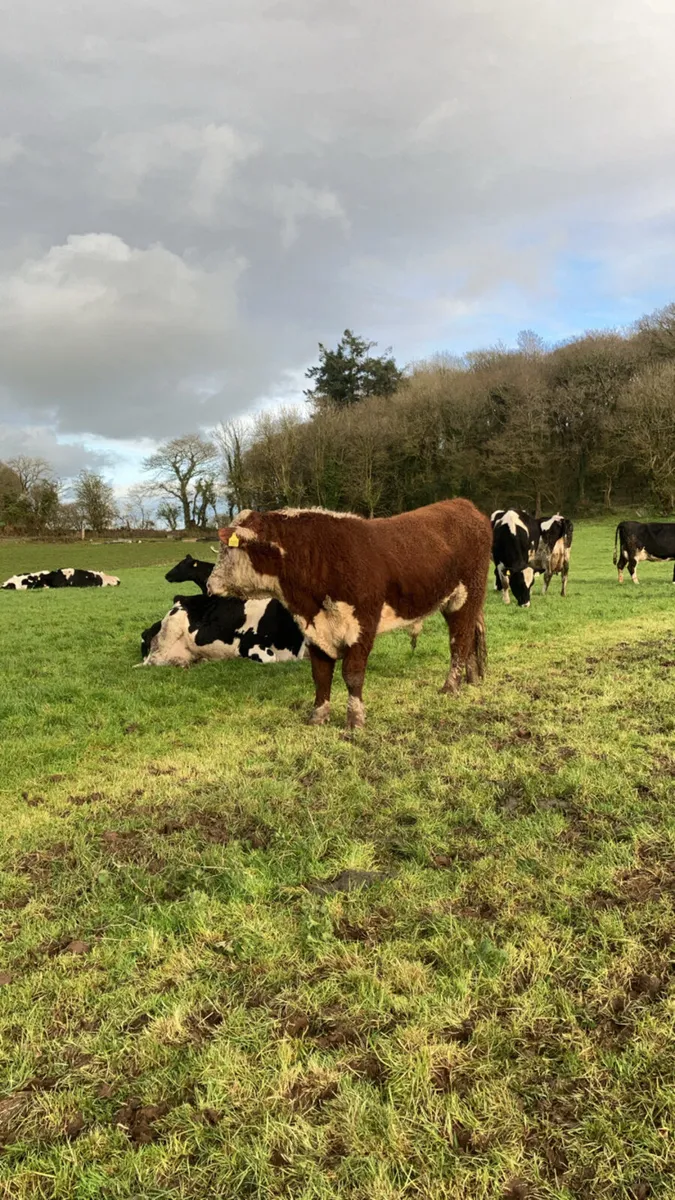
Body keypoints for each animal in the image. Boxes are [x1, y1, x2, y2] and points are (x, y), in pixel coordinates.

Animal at [207, 499, 492, 729]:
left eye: (229, 549)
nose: (210, 585)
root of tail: (463, 504)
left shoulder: (362, 624)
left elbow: (352, 673)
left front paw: (355, 719)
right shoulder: (315, 629)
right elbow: (321, 674)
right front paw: (318, 716)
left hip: (466, 596)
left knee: (459, 641)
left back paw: (450, 687)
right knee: (469, 638)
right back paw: (471, 679)